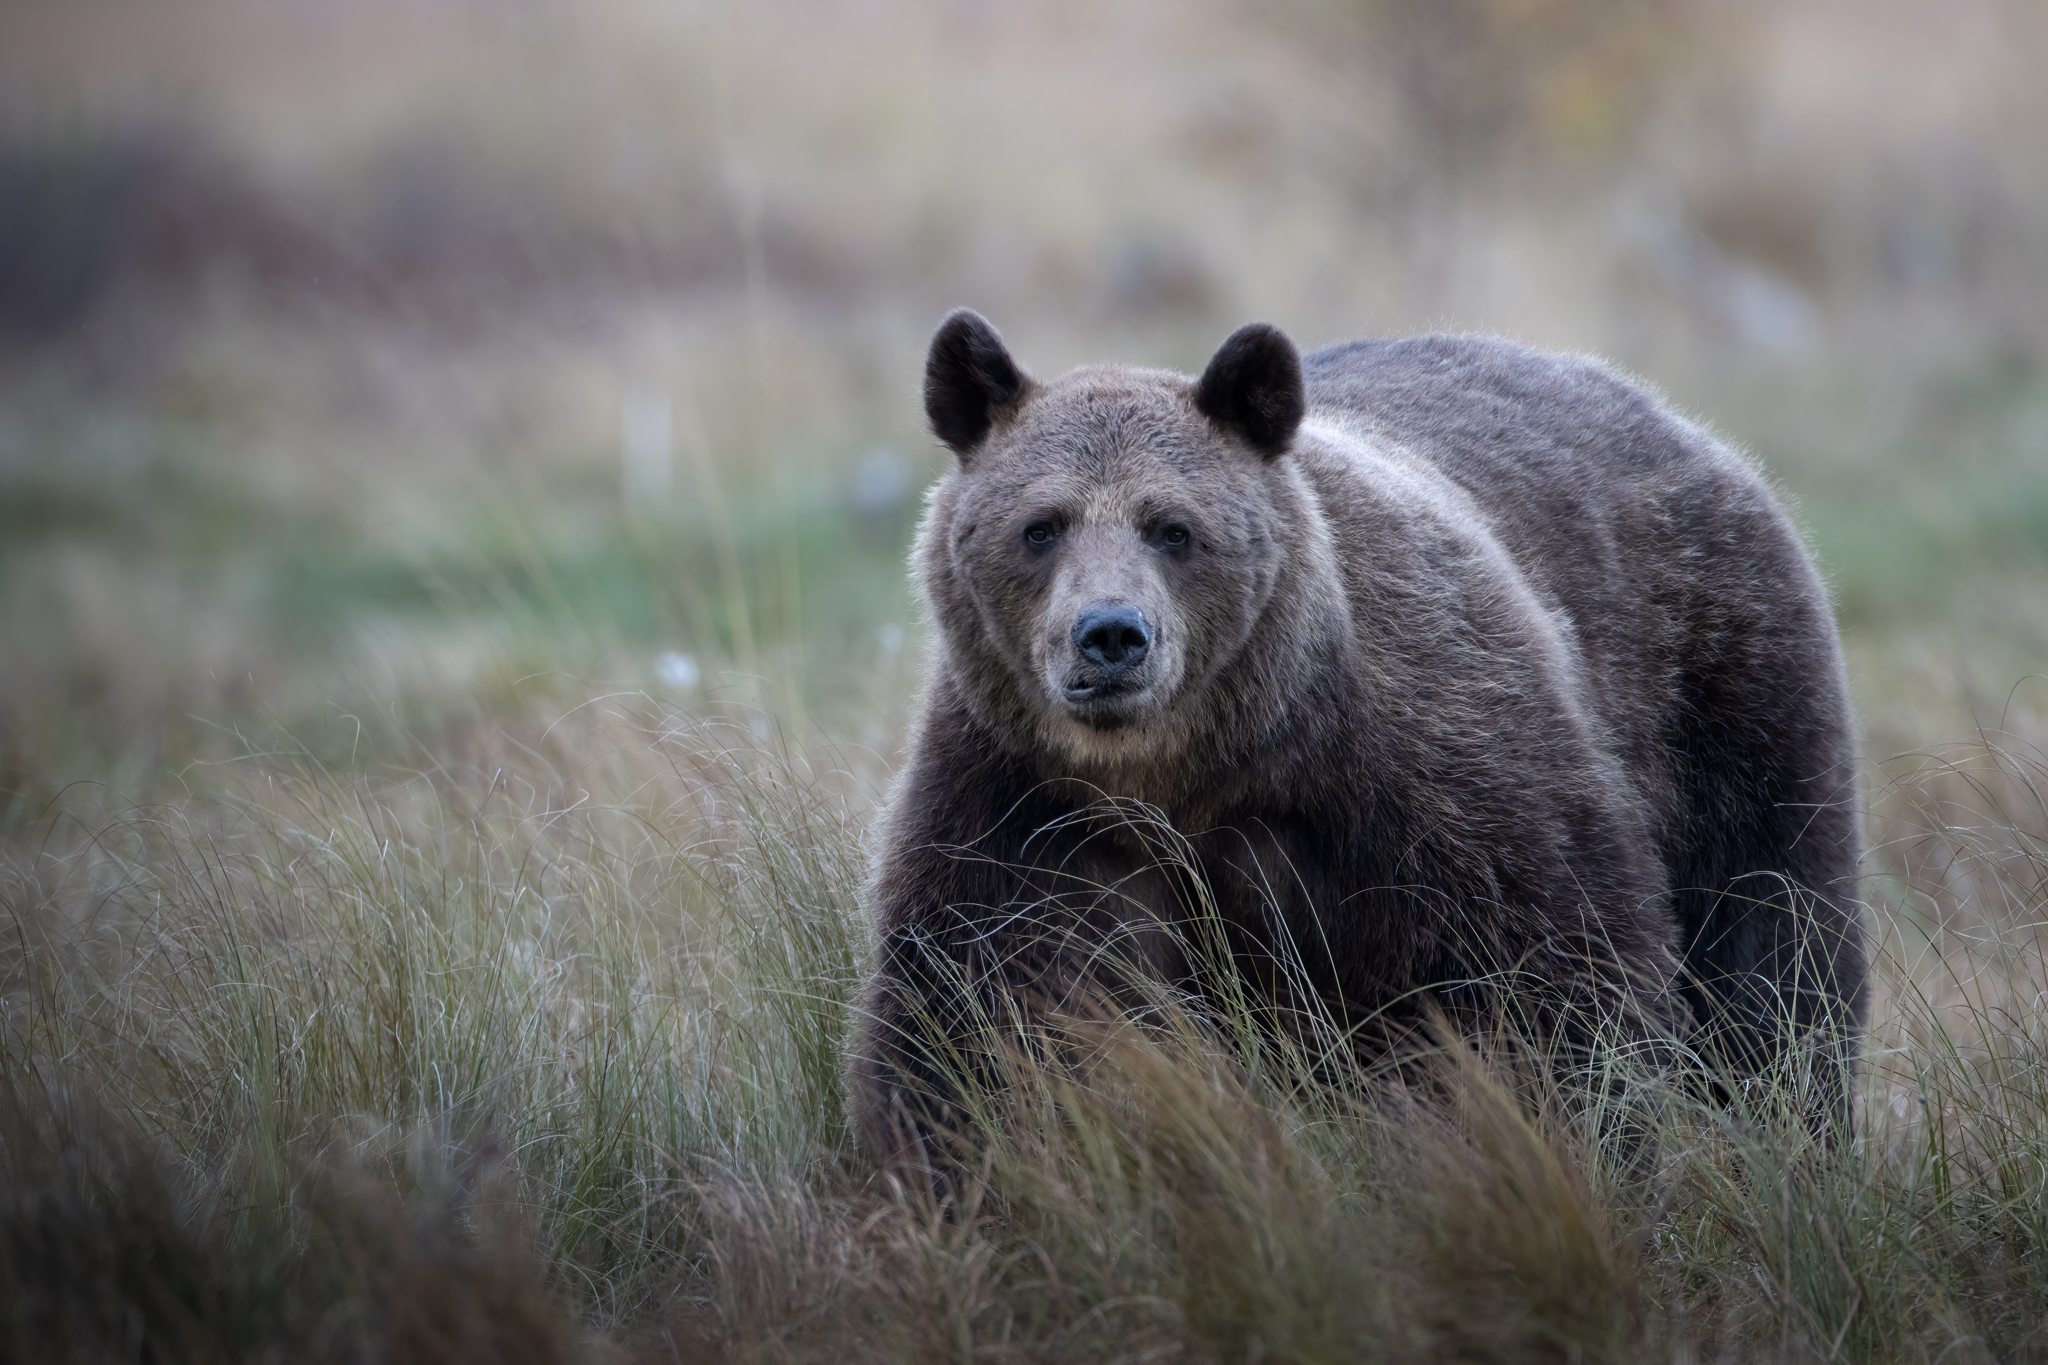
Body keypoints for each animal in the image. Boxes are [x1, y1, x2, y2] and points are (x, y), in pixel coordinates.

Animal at [849, 308, 1865, 1171]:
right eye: (1041, 525)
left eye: (1173, 527)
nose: (1110, 635)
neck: (1193, 769)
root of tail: (1673, 419)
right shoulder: (1023, 804)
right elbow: (970, 1010)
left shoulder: (1434, 772)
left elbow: (1556, 972)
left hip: (1722, 690)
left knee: (1771, 935)